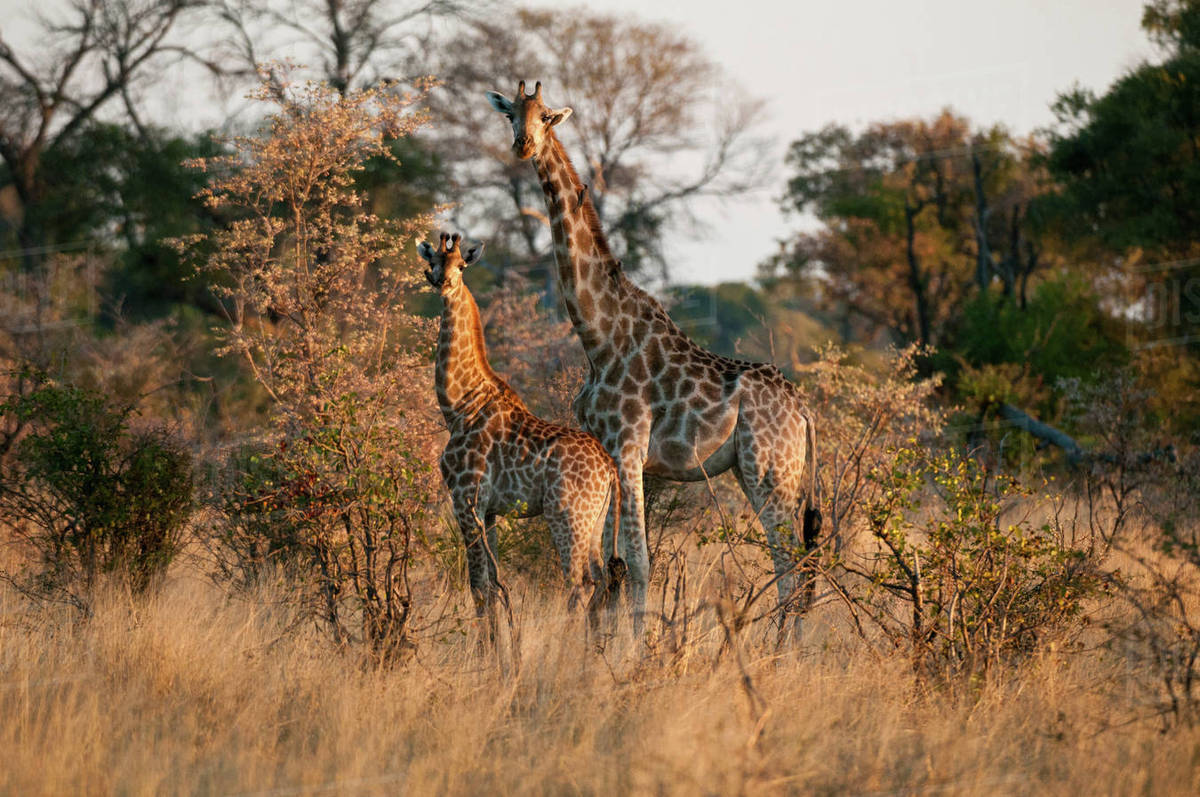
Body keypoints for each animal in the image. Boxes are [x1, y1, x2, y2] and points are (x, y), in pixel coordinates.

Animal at [418, 232, 623, 633]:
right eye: (433, 261)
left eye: (461, 265)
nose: (442, 282)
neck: (459, 406)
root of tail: (609, 469)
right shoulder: (489, 511)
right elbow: (491, 586)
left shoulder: (466, 499)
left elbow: (478, 587)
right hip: (595, 521)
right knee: (602, 579)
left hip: (567, 517)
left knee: (579, 584)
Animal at [486, 82, 821, 634]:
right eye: (511, 114)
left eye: (548, 117)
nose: (523, 145)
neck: (596, 335)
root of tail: (804, 411)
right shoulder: (607, 452)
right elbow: (612, 565)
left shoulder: (627, 447)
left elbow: (638, 564)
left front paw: (637, 650)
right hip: (757, 471)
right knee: (796, 561)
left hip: (770, 469)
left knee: (791, 559)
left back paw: (784, 649)